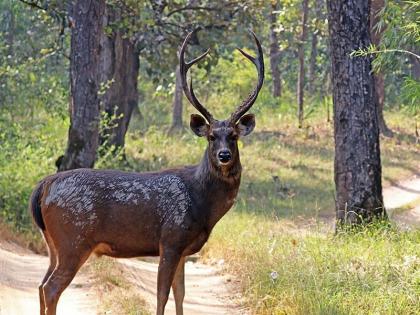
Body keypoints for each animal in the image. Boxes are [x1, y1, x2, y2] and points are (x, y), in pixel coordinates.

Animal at [30, 30, 262, 315]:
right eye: (211, 137)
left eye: (233, 136)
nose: (224, 156)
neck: (203, 205)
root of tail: (44, 186)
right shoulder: (171, 239)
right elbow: (162, 295)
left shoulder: (184, 250)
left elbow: (180, 294)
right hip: (74, 239)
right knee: (51, 288)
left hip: (52, 242)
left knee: (41, 285)